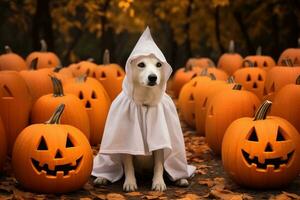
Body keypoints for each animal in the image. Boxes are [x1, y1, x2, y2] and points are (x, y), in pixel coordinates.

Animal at [92, 55, 189, 192]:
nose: (153, 77)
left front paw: (158, 182)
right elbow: (128, 166)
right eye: (141, 64)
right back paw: (102, 177)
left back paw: (181, 179)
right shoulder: (127, 144)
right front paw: (130, 183)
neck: (144, 102)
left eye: (158, 64)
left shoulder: (160, 144)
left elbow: (159, 165)